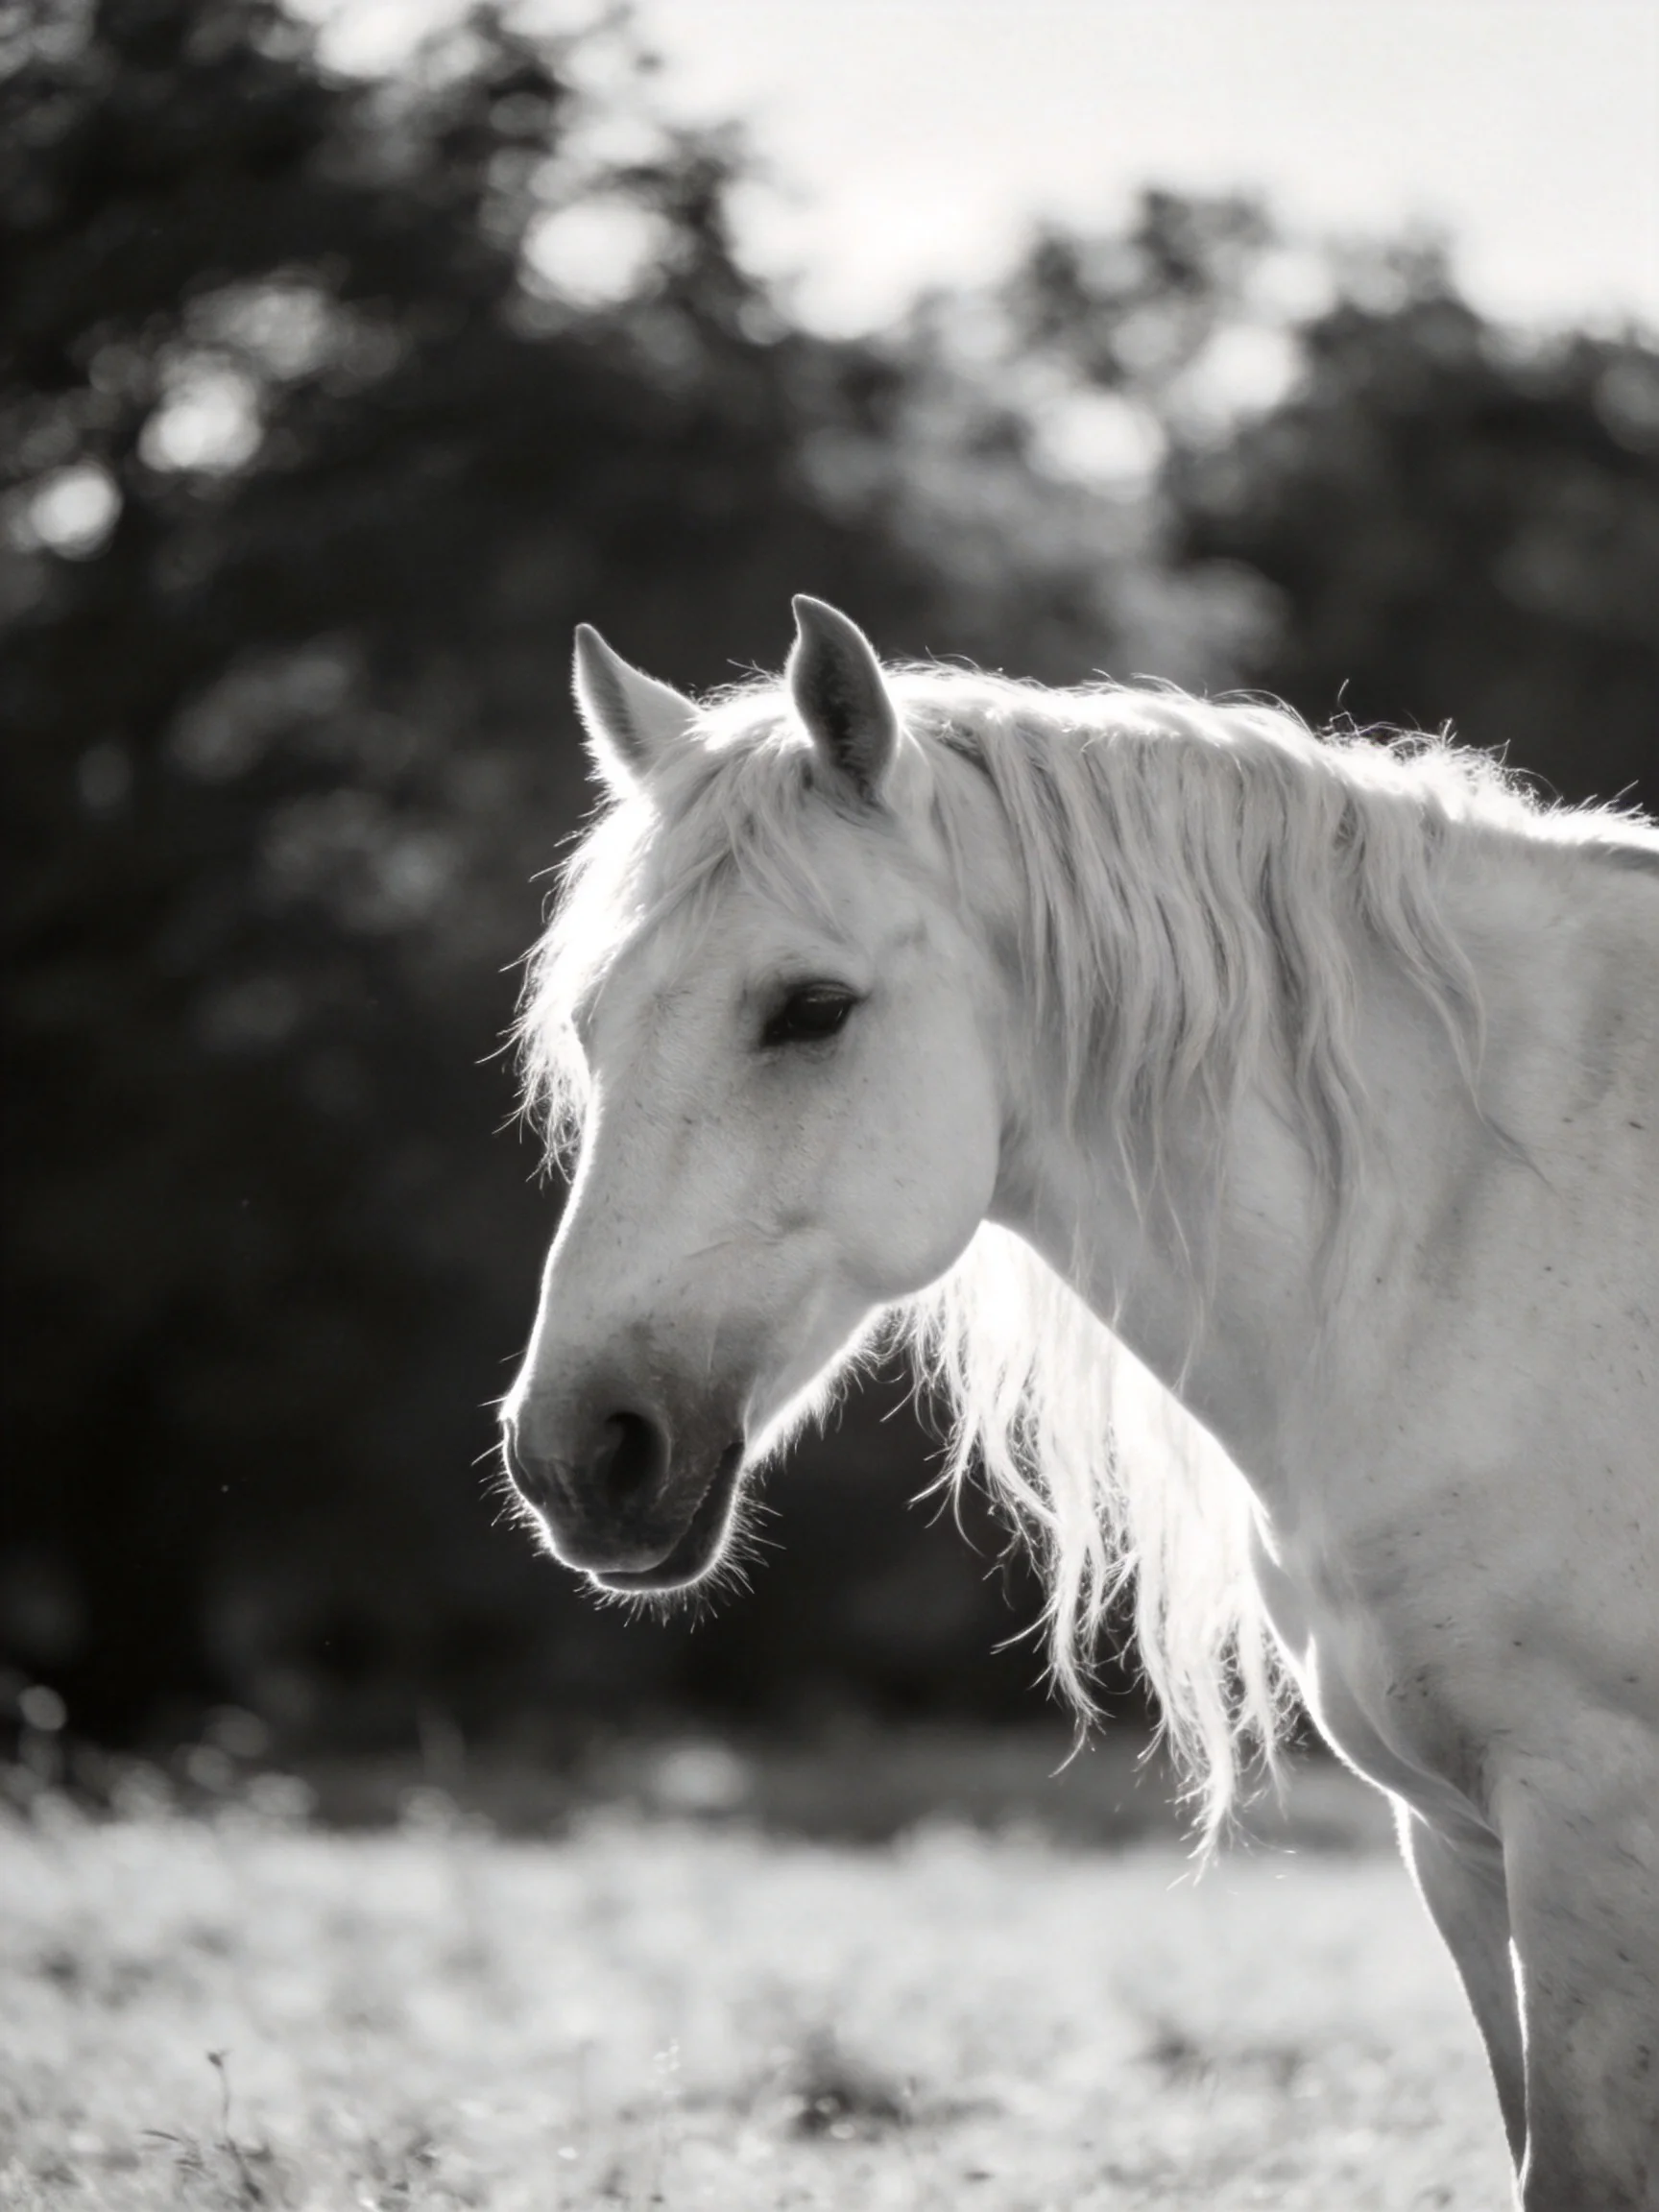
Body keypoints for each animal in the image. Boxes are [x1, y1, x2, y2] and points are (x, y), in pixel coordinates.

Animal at [501, 595, 1659, 2209]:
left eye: (811, 1009)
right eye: (593, 1027)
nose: (577, 1456)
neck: (1471, 1225)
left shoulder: (1588, 1821)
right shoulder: (1459, 1841)